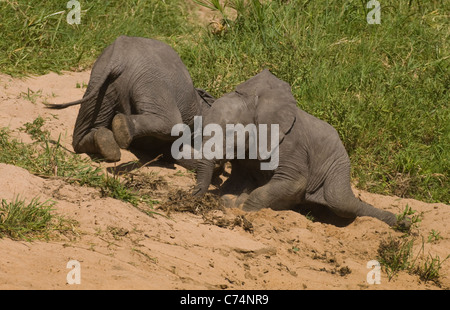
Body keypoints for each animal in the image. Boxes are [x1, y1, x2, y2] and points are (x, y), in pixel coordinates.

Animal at [46, 35, 214, 165]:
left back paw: (105, 142)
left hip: (101, 82)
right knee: (173, 122)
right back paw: (122, 129)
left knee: (82, 134)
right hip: (149, 78)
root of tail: (118, 55)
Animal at [193, 69, 400, 226]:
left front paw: (247, 210)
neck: (257, 103)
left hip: (338, 164)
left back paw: (399, 222)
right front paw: (231, 202)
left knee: (340, 201)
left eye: (230, 134)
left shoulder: (292, 147)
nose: (193, 195)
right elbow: (238, 182)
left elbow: (294, 182)